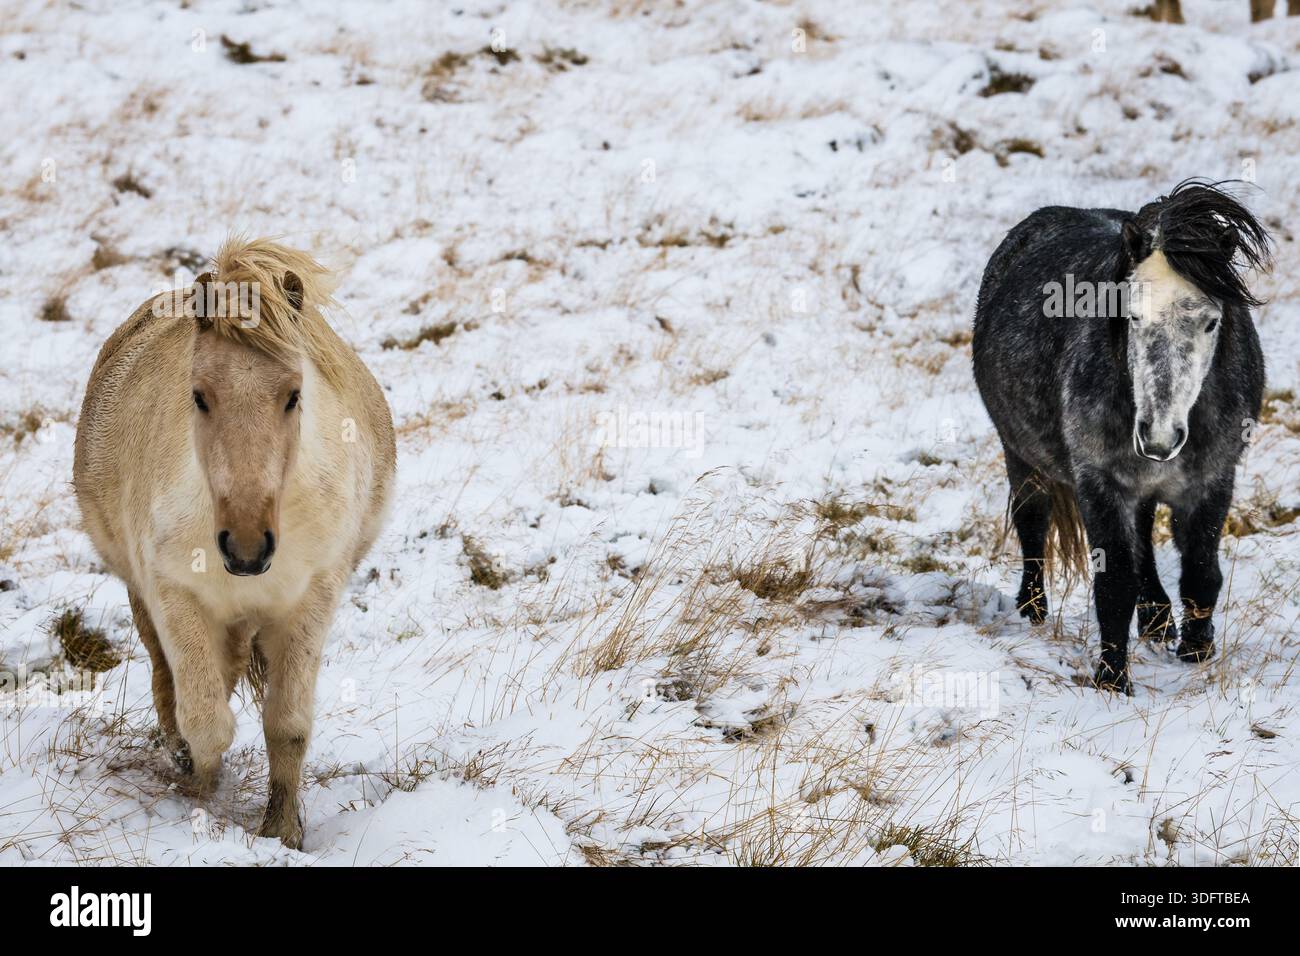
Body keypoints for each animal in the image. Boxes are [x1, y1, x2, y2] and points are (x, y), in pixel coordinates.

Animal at [73, 238, 396, 846]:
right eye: (199, 396)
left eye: (293, 394)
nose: (246, 547)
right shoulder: (176, 596)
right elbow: (206, 722)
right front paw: (197, 796)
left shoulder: (311, 599)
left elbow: (287, 726)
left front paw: (282, 831)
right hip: (150, 602)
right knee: (174, 683)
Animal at [972, 181, 1271, 694]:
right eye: (1130, 316)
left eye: (1212, 321)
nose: (1159, 436)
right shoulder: (1100, 483)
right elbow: (1114, 585)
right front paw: (1112, 681)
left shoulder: (1213, 481)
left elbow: (1201, 574)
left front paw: (1196, 652)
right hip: (1020, 455)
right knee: (1032, 520)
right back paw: (1033, 610)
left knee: (1145, 542)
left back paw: (1158, 622)